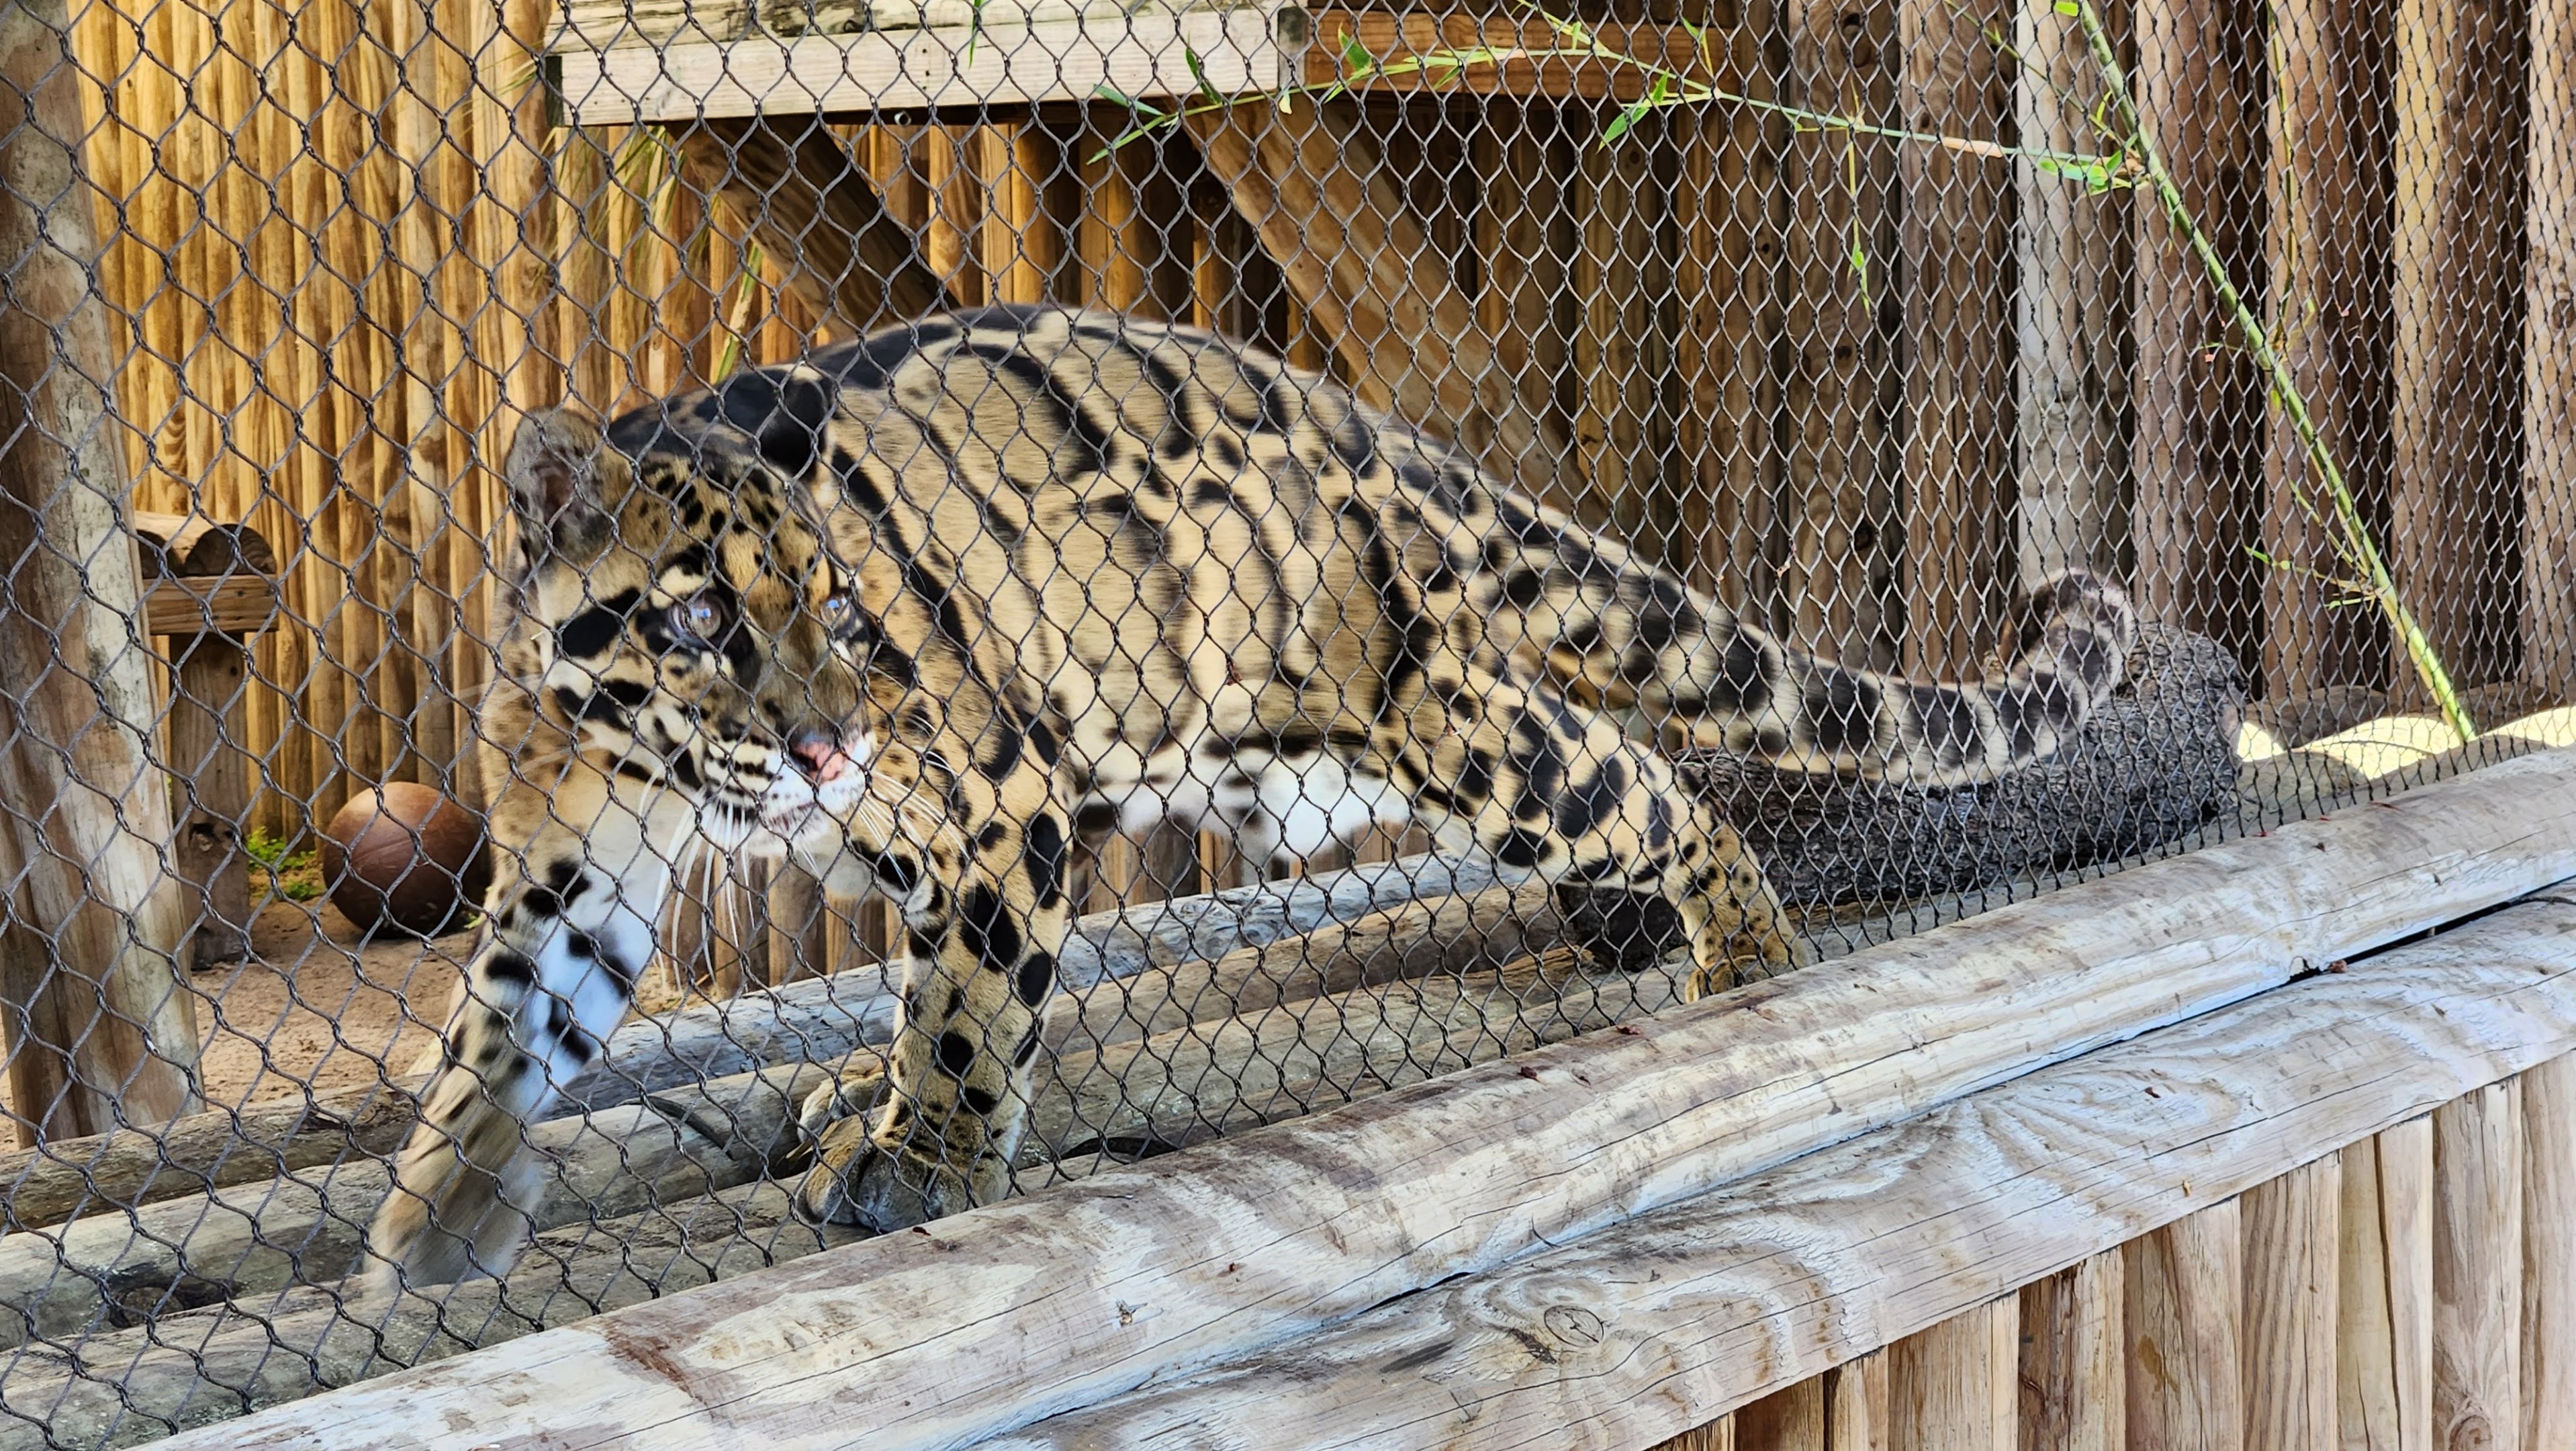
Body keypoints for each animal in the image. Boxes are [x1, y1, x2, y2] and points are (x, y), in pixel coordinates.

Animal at [366, 304, 2136, 1287]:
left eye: (850, 617)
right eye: (696, 622)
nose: (822, 751)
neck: (640, 757)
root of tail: (1361, 420)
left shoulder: (997, 799)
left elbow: (969, 1009)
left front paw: (927, 1163)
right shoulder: (569, 866)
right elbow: (500, 1033)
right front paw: (437, 1221)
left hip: (1455, 724)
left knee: (1653, 787)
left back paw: (1747, 963)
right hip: (1290, 743)